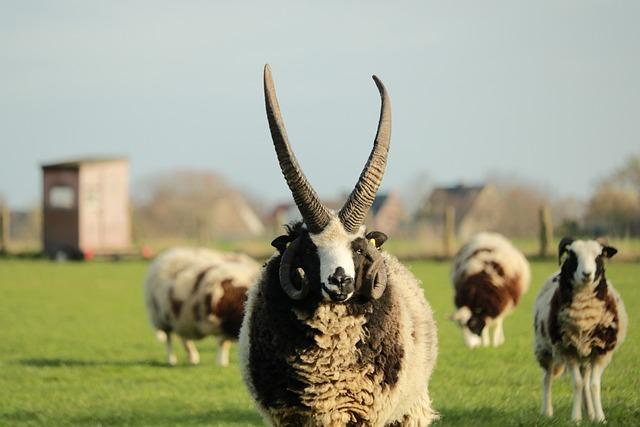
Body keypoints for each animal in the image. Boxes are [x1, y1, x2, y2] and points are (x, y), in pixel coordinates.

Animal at [238, 65, 438, 426]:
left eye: (358, 248)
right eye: (308, 249)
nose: (340, 281)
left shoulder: (364, 414)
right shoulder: (288, 417)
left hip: (410, 410)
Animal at [532, 239, 628, 422]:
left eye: (599, 256)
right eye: (572, 255)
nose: (587, 274)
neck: (584, 315)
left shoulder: (600, 350)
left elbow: (594, 385)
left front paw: (600, 418)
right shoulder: (567, 349)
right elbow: (577, 383)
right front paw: (576, 418)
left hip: (585, 354)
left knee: (585, 381)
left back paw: (590, 413)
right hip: (545, 348)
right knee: (547, 378)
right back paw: (547, 412)